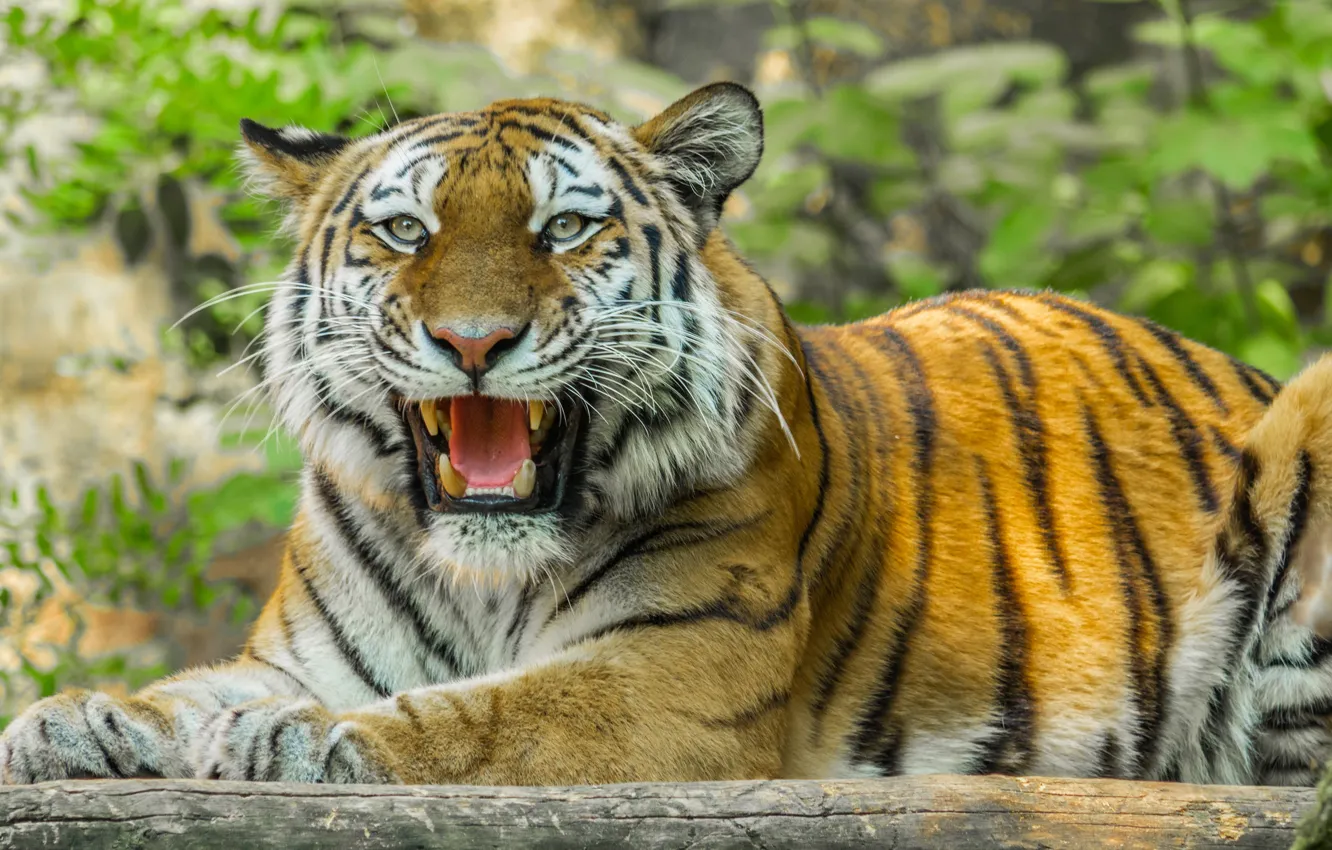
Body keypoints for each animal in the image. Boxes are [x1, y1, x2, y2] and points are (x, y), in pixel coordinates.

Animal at [5, 81, 1332, 788]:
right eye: (404, 231)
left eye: (561, 229)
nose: (473, 341)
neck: (483, 575)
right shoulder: (304, 648)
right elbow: (199, 685)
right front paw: (79, 714)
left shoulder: (677, 674)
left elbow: (486, 712)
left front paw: (305, 740)